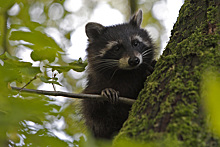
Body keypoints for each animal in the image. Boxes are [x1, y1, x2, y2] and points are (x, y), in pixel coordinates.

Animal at [82, 10, 156, 139]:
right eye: (116, 48)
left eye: (135, 43)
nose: (134, 60)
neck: (125, 72)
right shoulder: (93, 87)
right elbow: (94, 114)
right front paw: (106, 91)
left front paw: (148, 69)